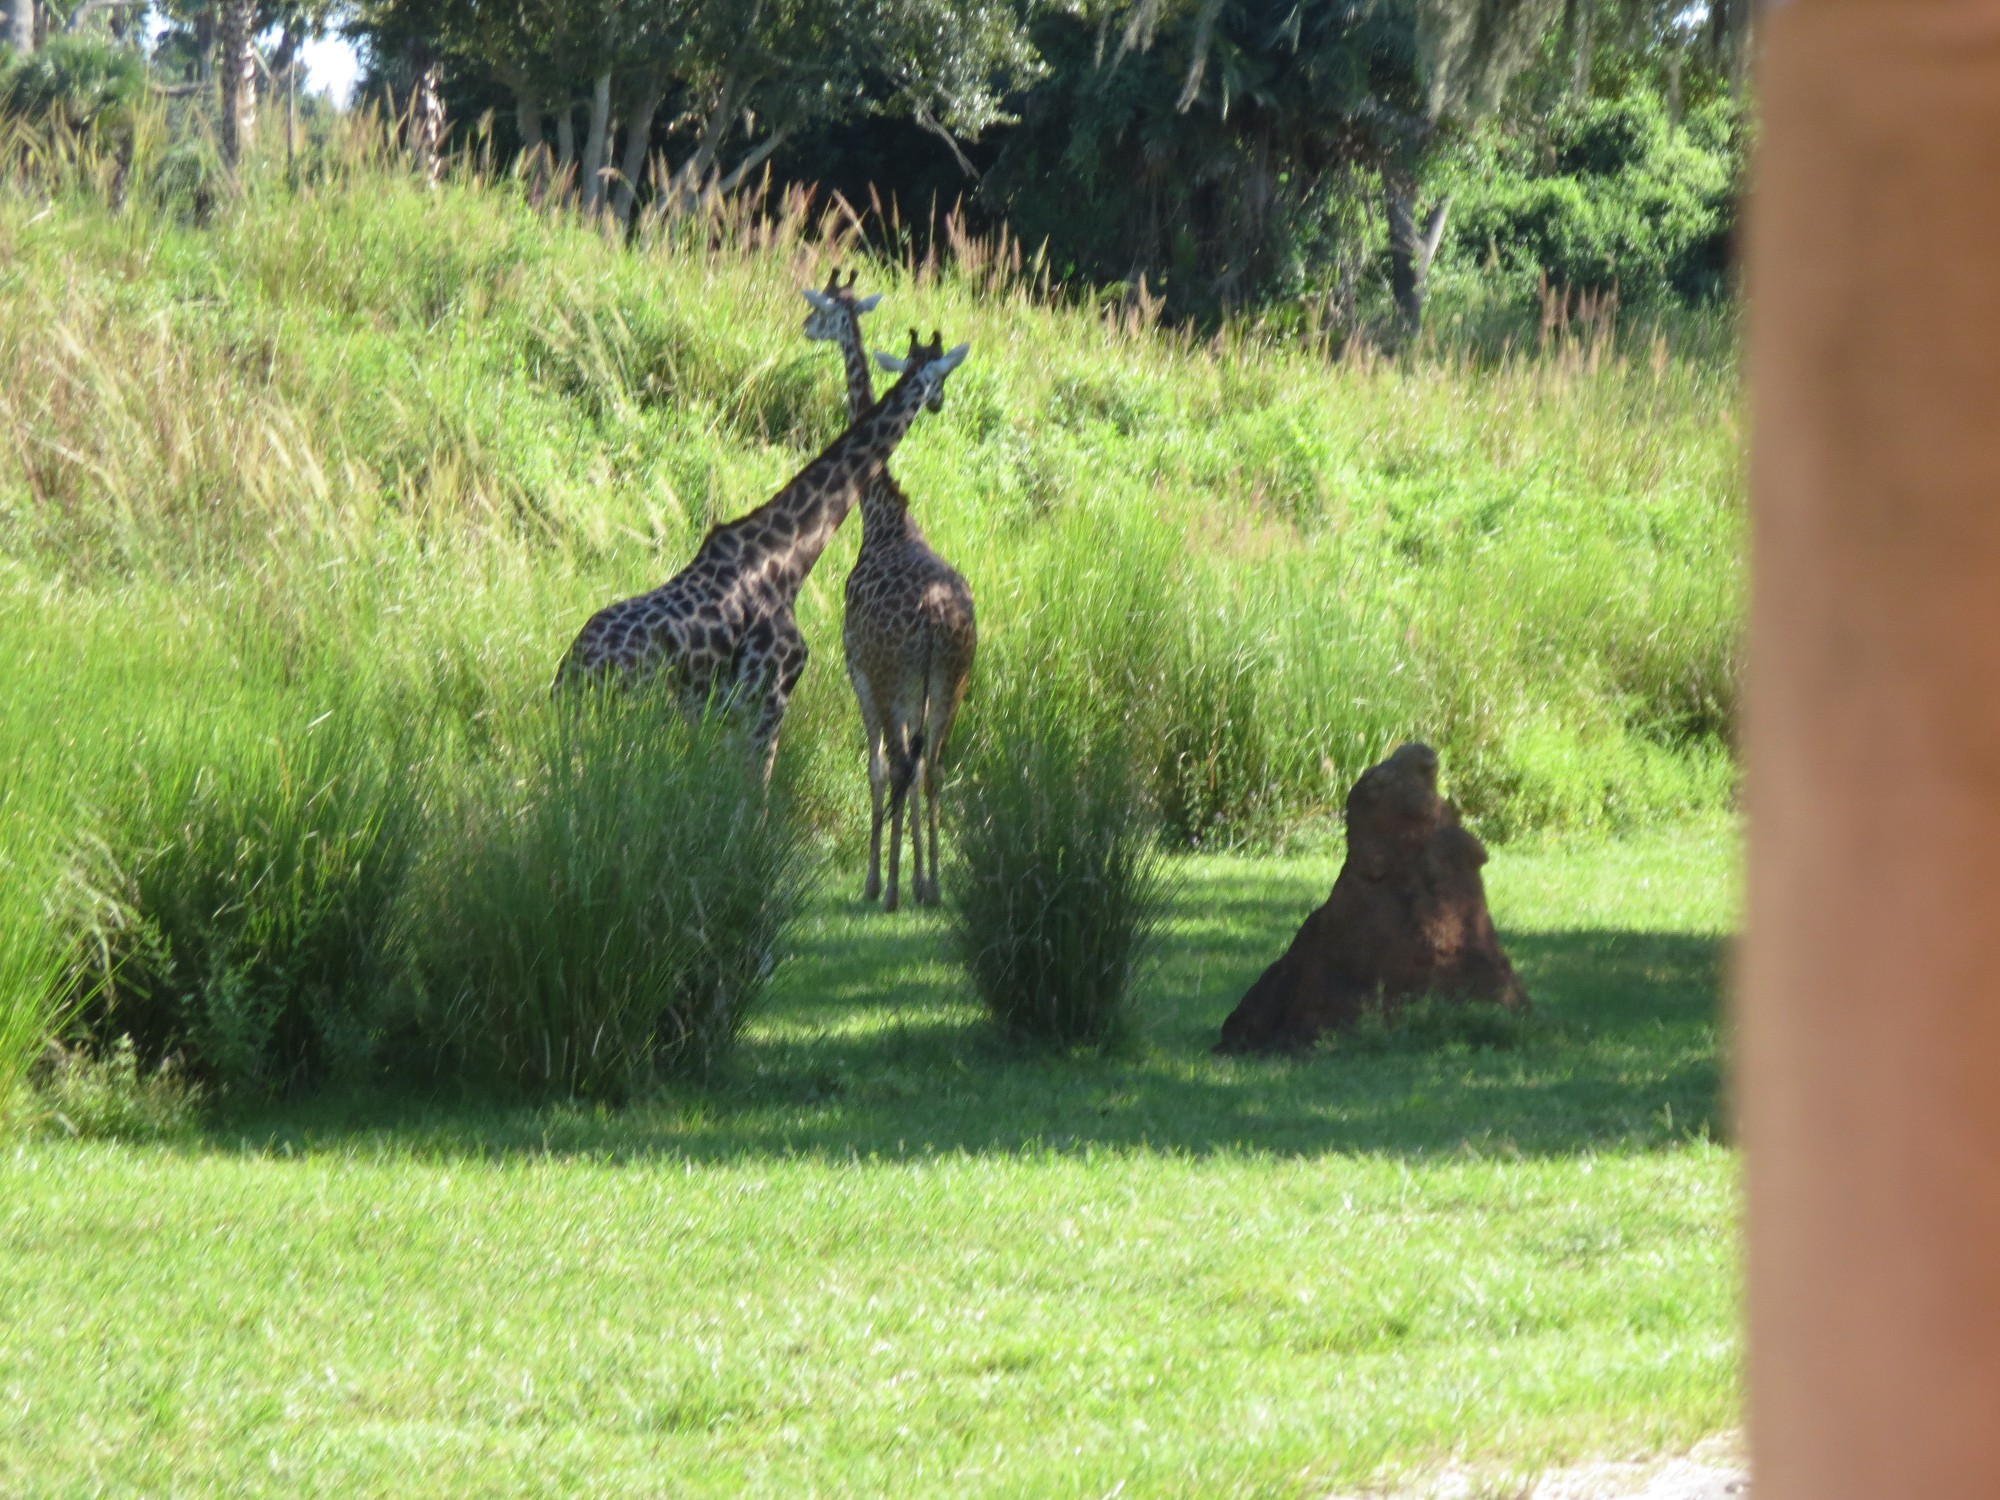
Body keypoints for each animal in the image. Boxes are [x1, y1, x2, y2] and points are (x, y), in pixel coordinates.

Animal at [556, 326, 968, 776]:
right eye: (943, 374)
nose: (938, 402)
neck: (787, 554)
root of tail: (572, 671)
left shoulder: (727, 710)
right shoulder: (769, 696)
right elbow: (757, 787)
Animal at [804, 274, 976, 916]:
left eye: (823, 310)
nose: (804, 328)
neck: (880, 517)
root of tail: (933, 619)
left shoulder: (855, 667)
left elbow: (875, 768)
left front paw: (877, 879)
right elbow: (914, 769)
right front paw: (918, 877)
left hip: (891, 677)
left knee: (900, 764)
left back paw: (895, 888)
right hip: (952, 678)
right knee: (933, 767)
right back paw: (931, 885)